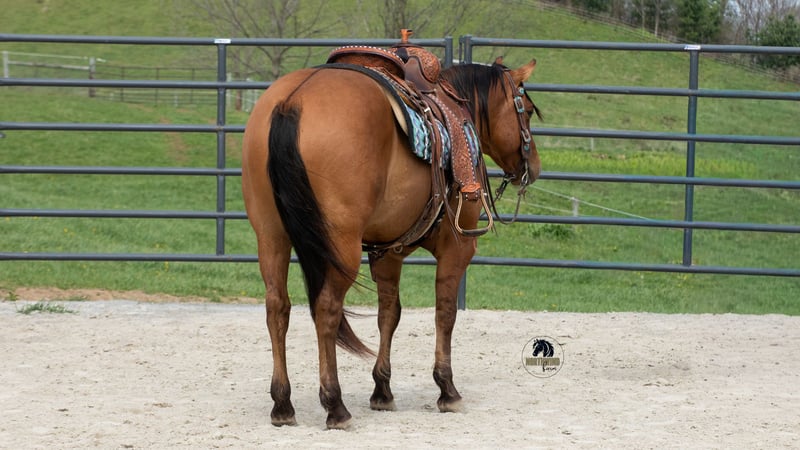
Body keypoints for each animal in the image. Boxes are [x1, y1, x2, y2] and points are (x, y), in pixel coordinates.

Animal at [241, 54, 541, 429]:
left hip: (271, 236)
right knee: (326, 310)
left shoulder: (388, 253)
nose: (533, 167)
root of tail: (291, 101)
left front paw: (382, 390)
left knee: (277, 307)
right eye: (526, 110)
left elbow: (389, 313)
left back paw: (282, 404)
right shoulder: (457, 248)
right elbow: (444, 313)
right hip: (341, 245)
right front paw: (447, 389)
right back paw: (335, 405)